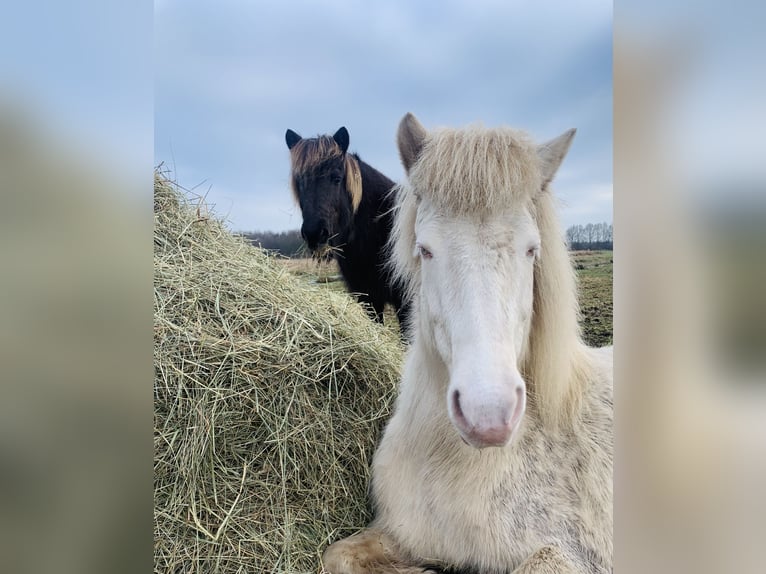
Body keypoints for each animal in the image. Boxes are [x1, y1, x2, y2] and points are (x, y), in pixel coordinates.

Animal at [322, 113, 612, 574]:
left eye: (532, 250)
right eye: (425, 250)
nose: (487, 415)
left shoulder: (571, 555)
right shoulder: (401, 531)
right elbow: (337, 555)